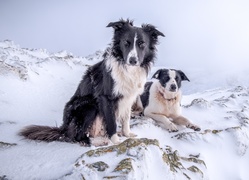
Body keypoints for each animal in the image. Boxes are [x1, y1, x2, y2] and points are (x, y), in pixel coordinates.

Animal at [19, 19, 163, 146]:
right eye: (126, 42)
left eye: (142, 44)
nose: (133, 60)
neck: (128, 69)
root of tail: (63, 129)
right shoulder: (105, 97)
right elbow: (111, 121)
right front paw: (116, 141)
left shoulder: (129, 96)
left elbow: (126, 118)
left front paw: (127, 134)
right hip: (89, 105)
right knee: (76, 137)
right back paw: (94, 142)